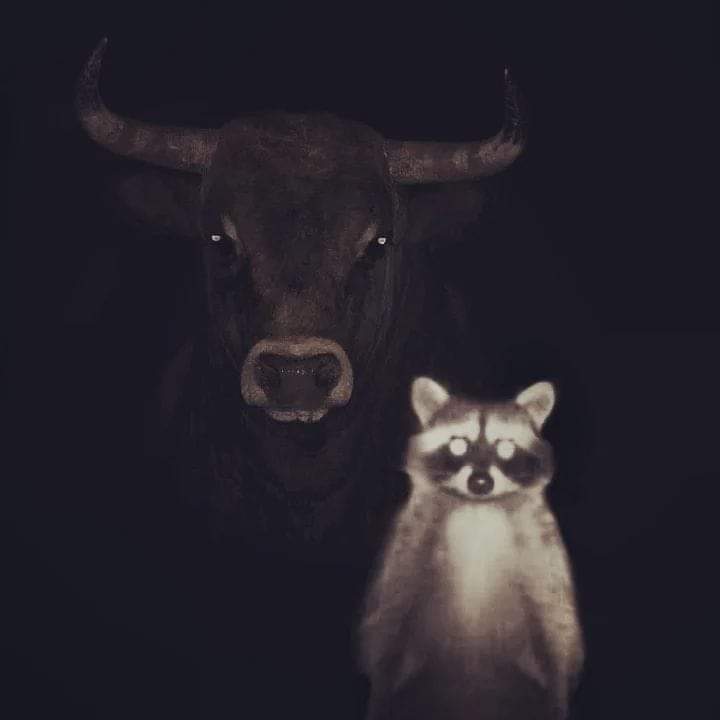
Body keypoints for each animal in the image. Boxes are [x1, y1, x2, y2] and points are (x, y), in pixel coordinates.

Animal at [358, 377, 584, 720]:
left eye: (505, 447)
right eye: (458, 445)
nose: (480, 482)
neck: (478, 508)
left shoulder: (542, 552)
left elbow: (555, 625)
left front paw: (558, 694)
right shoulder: (409, 544)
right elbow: (391, 618)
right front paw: (380, 693)